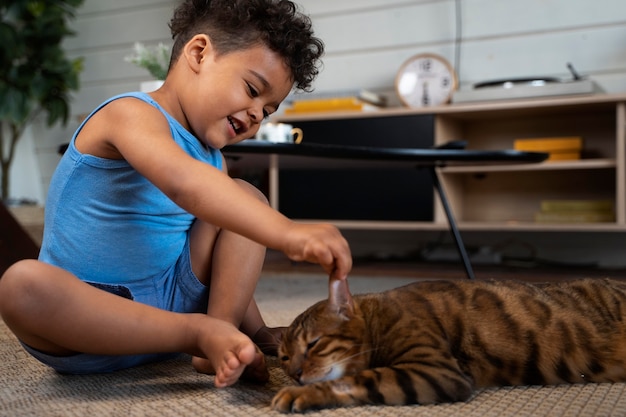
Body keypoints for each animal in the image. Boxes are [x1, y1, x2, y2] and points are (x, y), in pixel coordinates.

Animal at [270, 278, 624, 412]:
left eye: (314, 344)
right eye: (285, 357)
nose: (296, 374)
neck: (377, 316)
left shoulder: (434, 369)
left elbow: (358, 379)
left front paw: (303, 394)